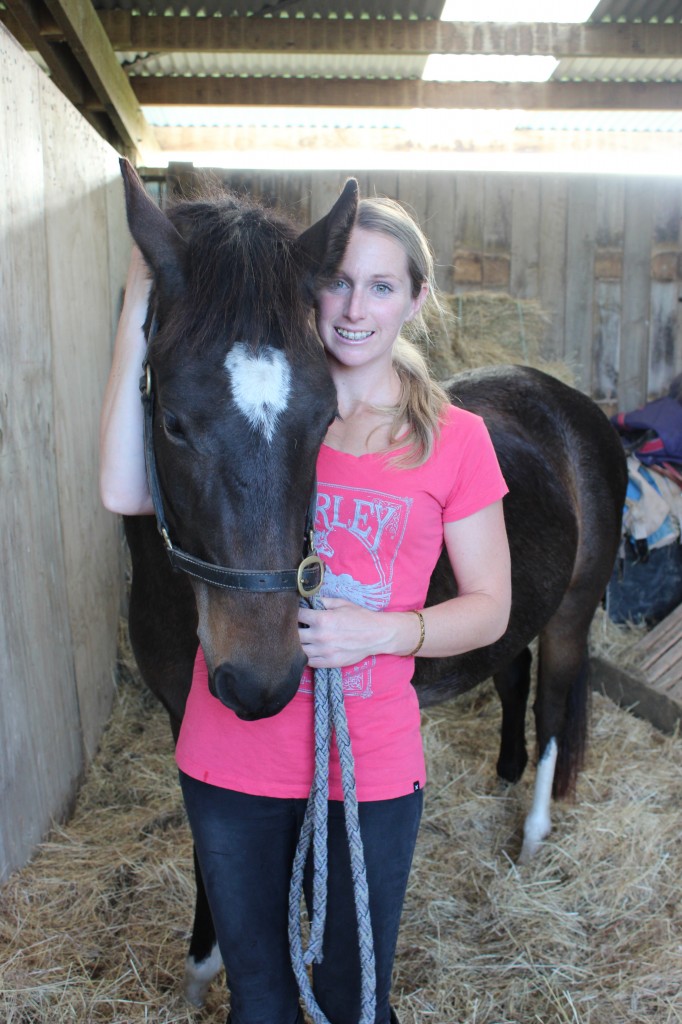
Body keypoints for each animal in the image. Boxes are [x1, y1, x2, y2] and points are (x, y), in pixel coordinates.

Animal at [116, 155, 626, 1003]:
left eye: (325, 418)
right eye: (175, 422)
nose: (260, 683)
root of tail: (565, 399)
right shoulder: (180, 720)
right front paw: (198, 970)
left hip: (573, 614)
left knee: (554, 703)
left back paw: (531, 835)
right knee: (510, 668)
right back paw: (504, 773)